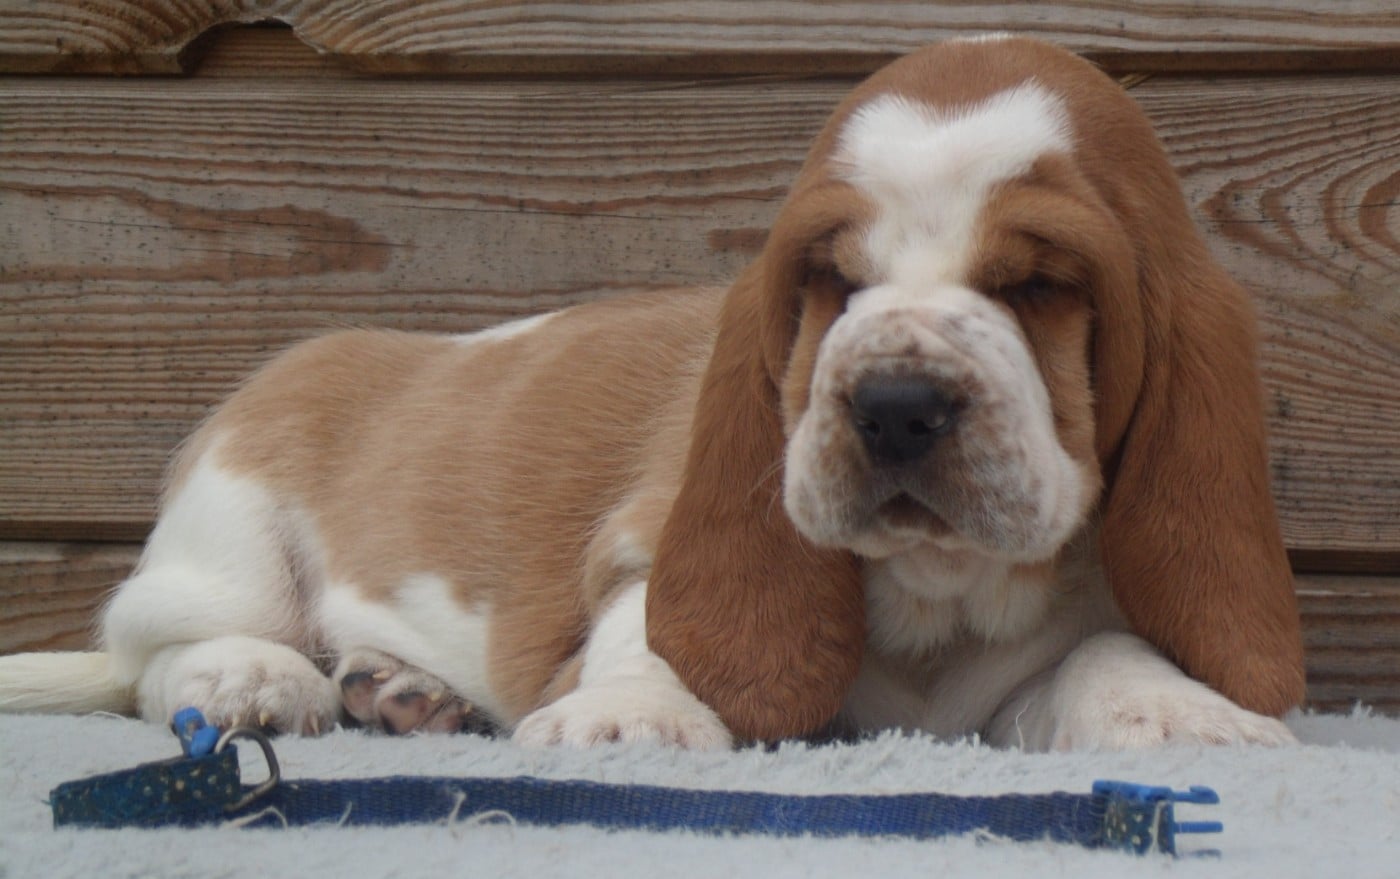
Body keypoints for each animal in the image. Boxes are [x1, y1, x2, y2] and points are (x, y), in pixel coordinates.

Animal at [0, 36, 1305, 750]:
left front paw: (1175, 709)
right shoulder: (652, 541)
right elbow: (651, 625)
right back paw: (256, 680)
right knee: (153, 651)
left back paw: (400, 691)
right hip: (231, 530)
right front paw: (631, 714)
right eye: (831, 282)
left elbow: (1103, 654)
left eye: (1034, 285)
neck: (936, 594)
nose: (890, 405)